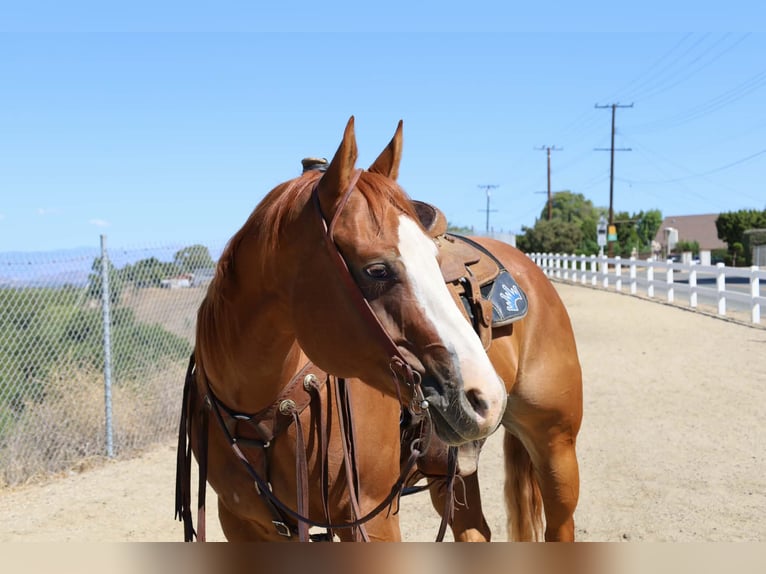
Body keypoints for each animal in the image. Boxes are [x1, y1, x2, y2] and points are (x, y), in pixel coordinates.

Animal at [175, 117, 510, 541]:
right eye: (377, 270)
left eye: (434, 260)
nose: (487, 397)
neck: (256, 417)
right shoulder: (240, 522)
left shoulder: (372, 518)